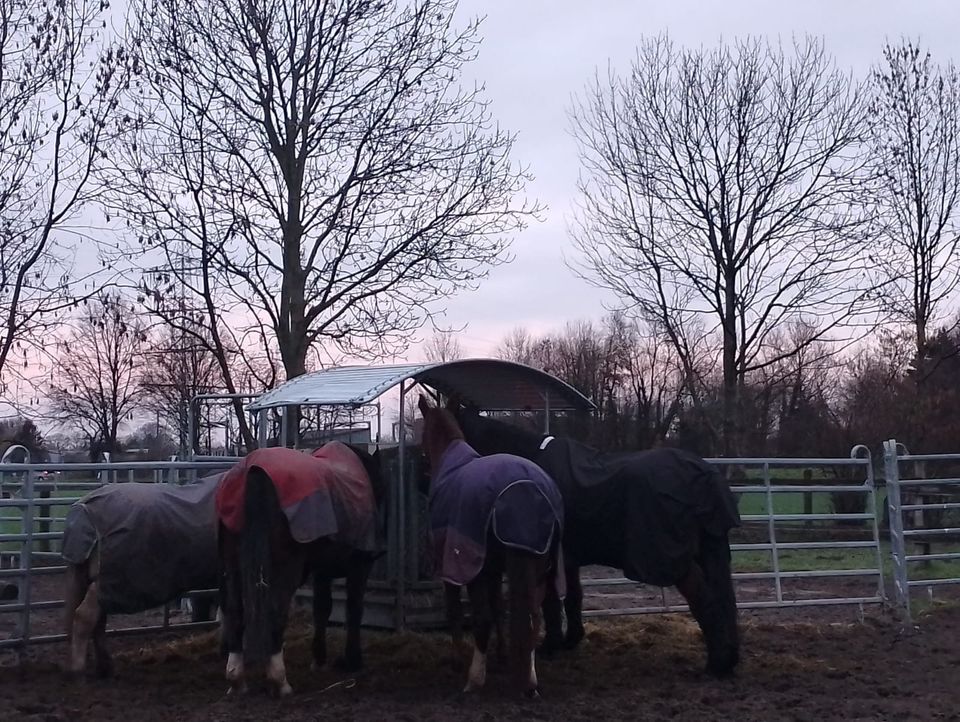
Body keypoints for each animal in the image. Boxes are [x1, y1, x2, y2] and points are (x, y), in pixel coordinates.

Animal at [62, 470, 223, 676]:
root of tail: (84, 509)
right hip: (105, 580)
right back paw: (79, 669)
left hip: (98, 581)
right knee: (84, 617)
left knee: (97, 620)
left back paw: (105, 666)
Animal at [418, 394, 568, 696]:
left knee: (483, 618)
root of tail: (529, 490)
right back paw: (529, 680)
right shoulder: (496, 570)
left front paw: (458, 660)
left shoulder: (455, 567)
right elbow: (500, 607)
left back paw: (474, 680)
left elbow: (457, 611)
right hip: (538, 567)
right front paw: (501, 655)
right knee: (533, 618)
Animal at [450, 400, 744, 676]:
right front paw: (570, 640)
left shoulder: (547, 556)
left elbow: (550, 602)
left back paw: (716, 665)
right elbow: (572, 598)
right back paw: (728, 661)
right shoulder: (568, 559)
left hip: (675, 560)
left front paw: (551, 645)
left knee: (706, 602)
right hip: (711, 551)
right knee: (725, 601)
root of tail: (703, 475)